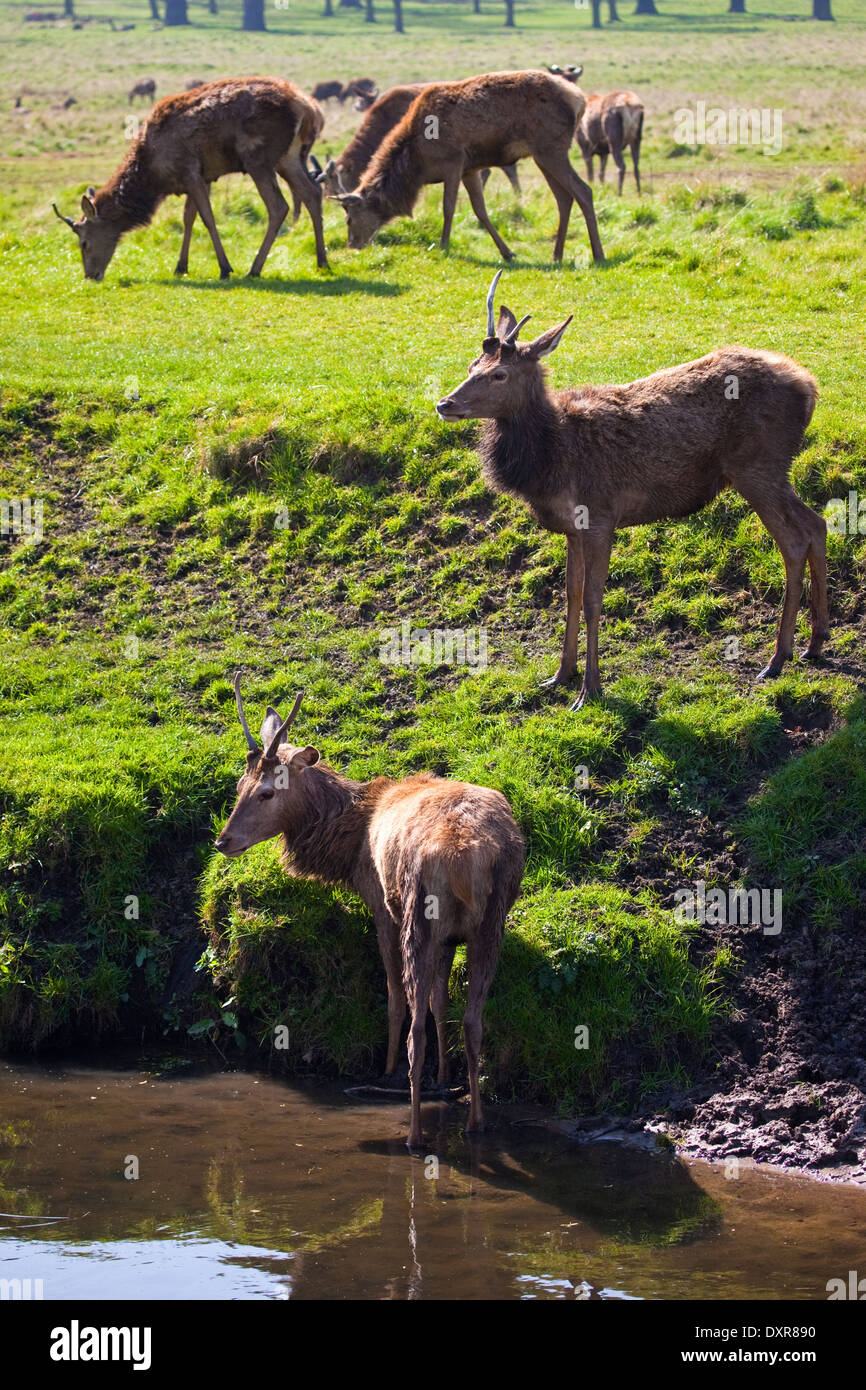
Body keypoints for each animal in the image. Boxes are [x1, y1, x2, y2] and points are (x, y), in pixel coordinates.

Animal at [51, 78, 328, 282]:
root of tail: (311, 110)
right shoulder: (202, 177)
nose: (90, 276)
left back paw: (254, 268)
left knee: (279, 206)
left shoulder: (190, 172)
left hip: (258, 158)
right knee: (312, 193)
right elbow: (188, 218)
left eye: (84, 243)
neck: (152, 176)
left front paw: (225, 268)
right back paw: (322, 261)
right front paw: (181, 266)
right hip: (290, 158)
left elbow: (207, 218)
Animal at [216, 675, 528, 1150]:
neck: (348, 843)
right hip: (491, 923)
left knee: (415, 1025)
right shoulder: (448, 937)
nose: (223, 841)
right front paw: (445, 1075)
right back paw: (475, 1123)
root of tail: (465, 854)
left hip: (417, 912)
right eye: (238, 787)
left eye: (267, 792)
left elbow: (395, 996)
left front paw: (386, 1069)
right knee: (473, 1021)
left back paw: (414, 1133)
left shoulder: (380, 903)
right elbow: (441, 1000)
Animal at [436, 272, 828, 711]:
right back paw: (815, 643)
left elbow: (593, 599)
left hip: (757, 468)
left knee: (794, 540)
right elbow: (570, 595)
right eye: (472, 365)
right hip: (774, 472)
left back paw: (777, 658)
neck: (553, 458)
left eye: (499, 374)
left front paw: (589, 689)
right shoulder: (572, 527)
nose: (445, 403)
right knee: (818, 523)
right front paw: (559, 675)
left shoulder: (599, 516)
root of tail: (810, 386)